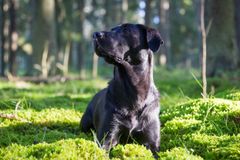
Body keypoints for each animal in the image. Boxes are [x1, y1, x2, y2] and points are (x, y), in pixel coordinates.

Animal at [80, 23, 163, 156]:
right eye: (112, 29)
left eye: (125, 29)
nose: (95, 34)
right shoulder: (108, 136)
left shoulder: (152, 143)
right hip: (85, 122)